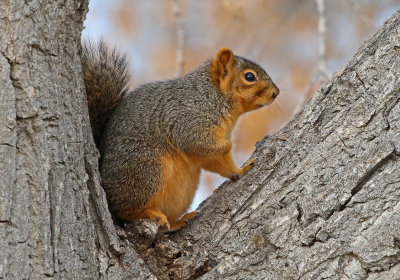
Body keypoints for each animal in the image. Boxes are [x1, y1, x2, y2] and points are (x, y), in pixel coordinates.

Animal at [83, 40, 280, 232]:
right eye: (249, 77)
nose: (276, 93)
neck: (213, 95)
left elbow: (220, 163)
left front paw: (241, 169)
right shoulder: (188, 120)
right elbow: (197, 143)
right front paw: (228, 145)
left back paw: (178, 221)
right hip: (146, 170)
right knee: (125, 209)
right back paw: (150, 214)